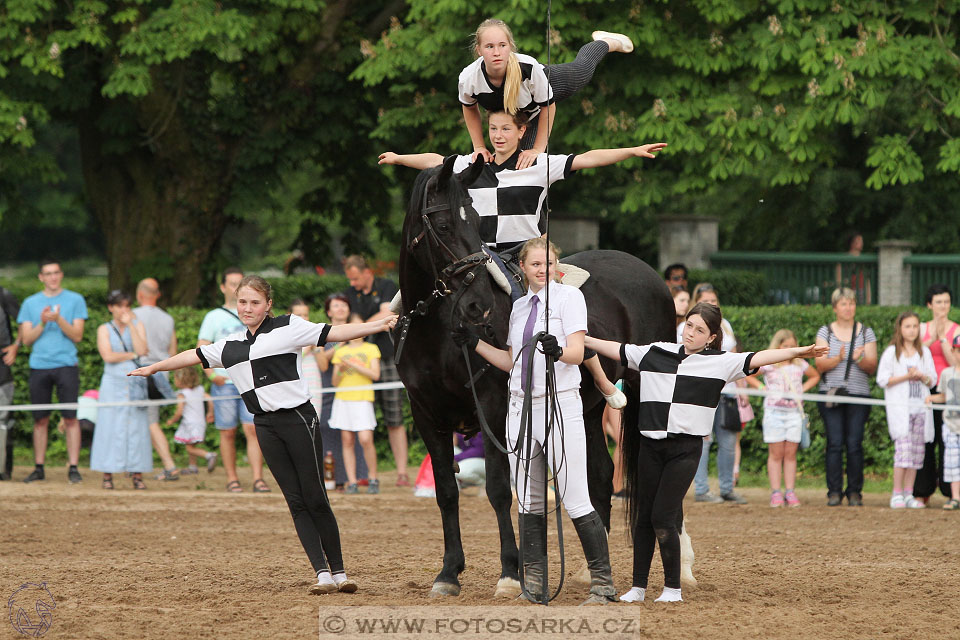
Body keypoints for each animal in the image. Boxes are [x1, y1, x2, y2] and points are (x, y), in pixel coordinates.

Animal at [396, 156, 676, 600]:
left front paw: (511, 572)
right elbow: (446, 491)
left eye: (475, 221)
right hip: (586, 411)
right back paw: (588, 571)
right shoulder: (427, 416)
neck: (436, 331)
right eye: (442, 224)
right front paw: (448, 573)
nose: (477, 306)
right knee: (598, 476)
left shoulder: (494, 411)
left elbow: (498, 490)